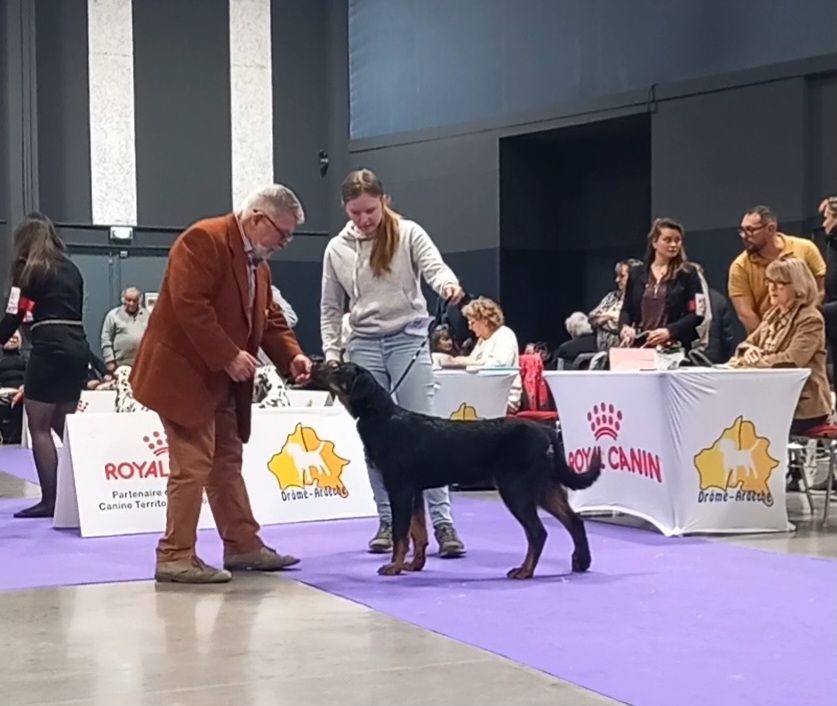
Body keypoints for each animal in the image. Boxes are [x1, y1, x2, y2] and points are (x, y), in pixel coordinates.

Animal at [313, 361, 601, 579]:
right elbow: (418, 532)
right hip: (545, 487)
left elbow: (401, 533)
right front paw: (414, 565)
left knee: (538, 532)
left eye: (336, 367)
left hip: (516, 489)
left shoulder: (400, 488)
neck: (382, 417)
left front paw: (394, 566)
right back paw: (581, 561)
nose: (315, 362)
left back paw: (524, 571)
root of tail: (545, 430)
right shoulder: (414, 491)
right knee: (574, 521)